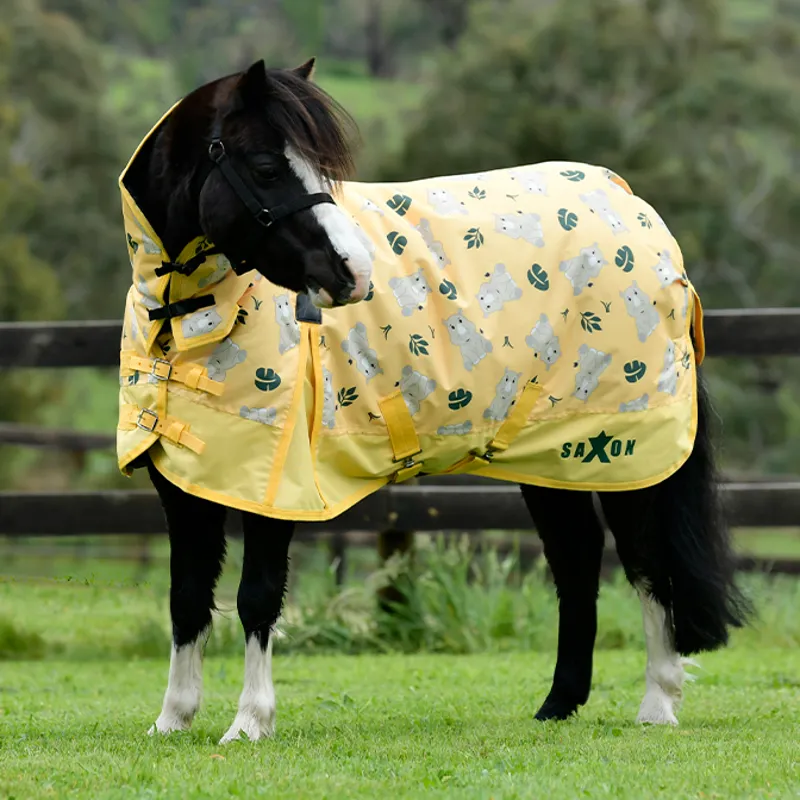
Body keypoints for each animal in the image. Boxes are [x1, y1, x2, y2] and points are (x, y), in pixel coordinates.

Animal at [117, 58, 749, 744]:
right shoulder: (186, 486)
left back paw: (658, 703)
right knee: (577, 559)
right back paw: (559, 705)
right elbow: (187, 596)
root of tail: (634, 209)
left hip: (630, 457)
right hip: (552, 457)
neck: (189, 320)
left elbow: (255, 595)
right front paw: (172, 719)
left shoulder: (275, 488)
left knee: (647, 562)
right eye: (265, 167)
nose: (354, 274)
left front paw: (249, 723)